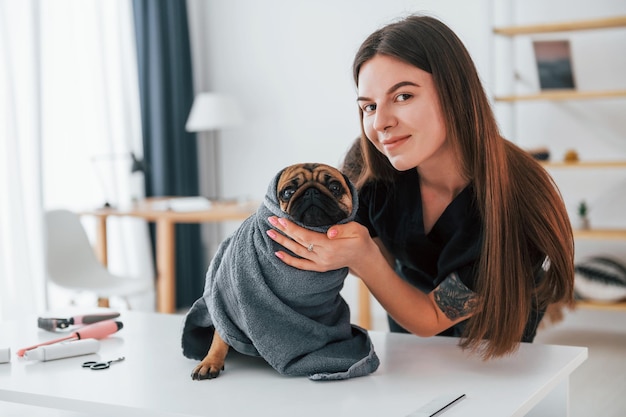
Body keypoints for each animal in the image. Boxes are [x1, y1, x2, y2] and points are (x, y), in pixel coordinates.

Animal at [178, 162, 378, 380]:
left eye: (334, 188)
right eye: (288, 192)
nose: (311, 192)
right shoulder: (224, 306)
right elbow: (220, 336)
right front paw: (211, 361)